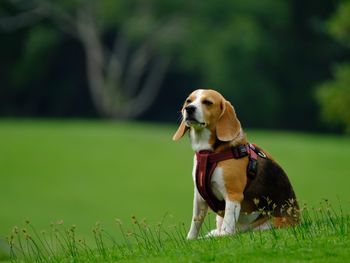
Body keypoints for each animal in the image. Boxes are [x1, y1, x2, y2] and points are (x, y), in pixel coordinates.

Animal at [172, 89, 298, 240]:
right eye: (188, 101)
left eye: (207, 102)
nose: (189, 109)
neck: (209, 153)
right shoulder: (199, 197)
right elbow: (196, 221)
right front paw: (190, 239)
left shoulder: (233, 195)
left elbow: (228, 223)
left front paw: (224, 236)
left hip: (268, 225)